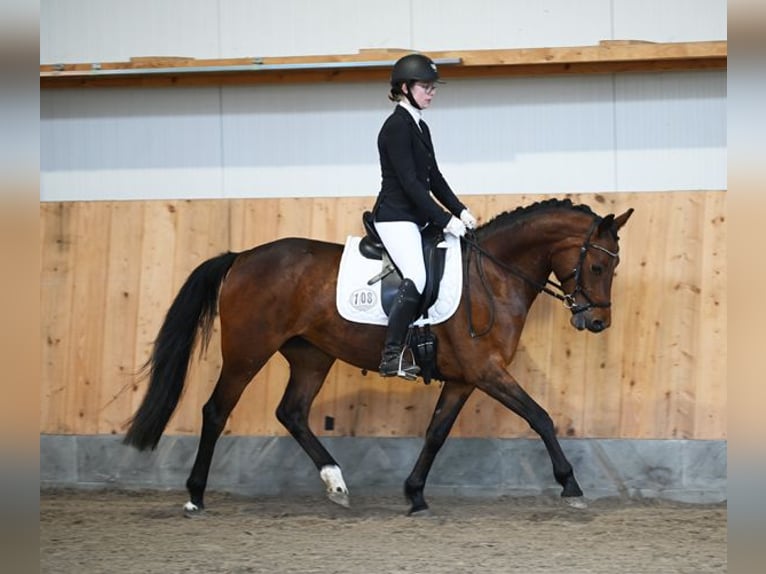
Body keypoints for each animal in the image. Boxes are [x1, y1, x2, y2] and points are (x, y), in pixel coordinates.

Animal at [123, 199, 632, 516]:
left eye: (614, 266)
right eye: (597, 265)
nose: (597, 322)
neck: (492, 277)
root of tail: (244, 256)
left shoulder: (465, 378)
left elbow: (436, 433)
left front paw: (415, 494)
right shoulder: (487, 371)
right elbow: (540, 416)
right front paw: (571, 486)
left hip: (312, 356)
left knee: (292, 412)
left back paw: (336, 483)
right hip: (248, 352)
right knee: (216, 411)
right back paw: (195, 496)